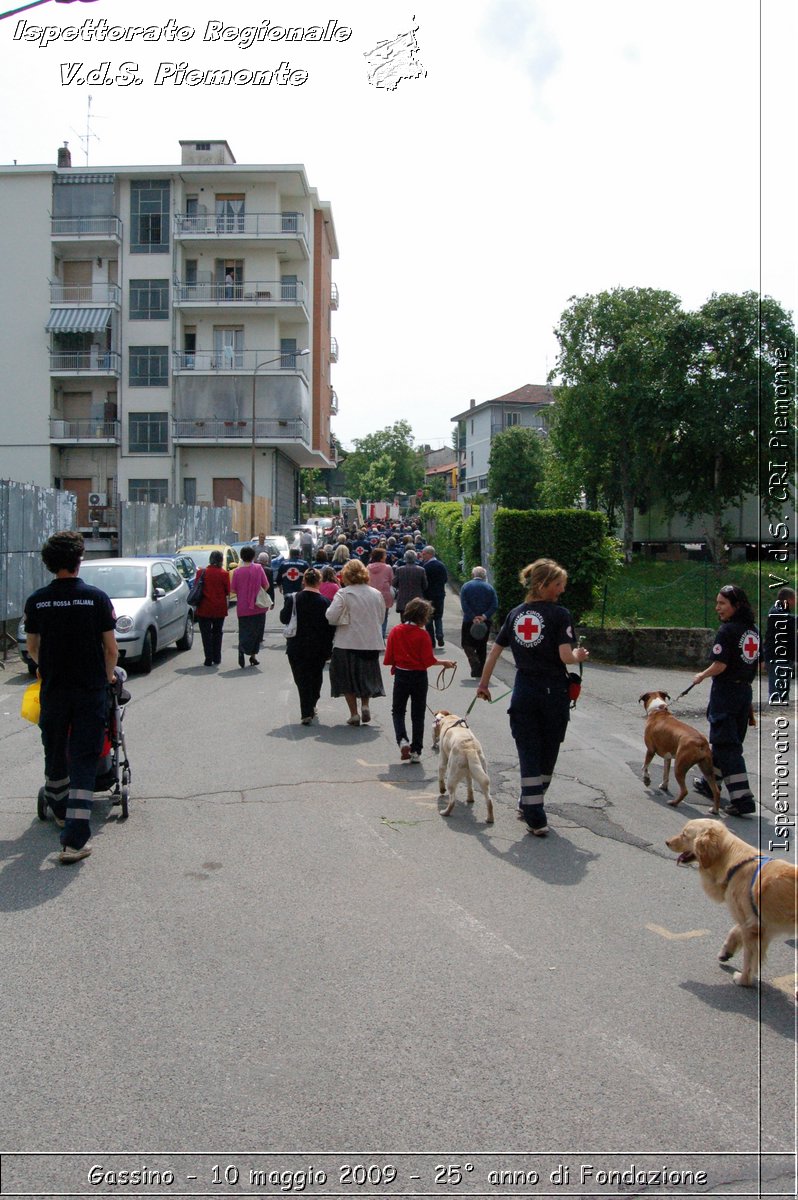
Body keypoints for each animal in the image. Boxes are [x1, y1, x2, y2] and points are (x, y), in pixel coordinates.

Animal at [667, 816, 796, 993]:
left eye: (684, 834)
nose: (667, 842)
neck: (732, 862)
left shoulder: (752, 927)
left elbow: (749, 958)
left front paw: (744, 979)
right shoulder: (758, 922)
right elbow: (734, 931)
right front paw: (726, 951)